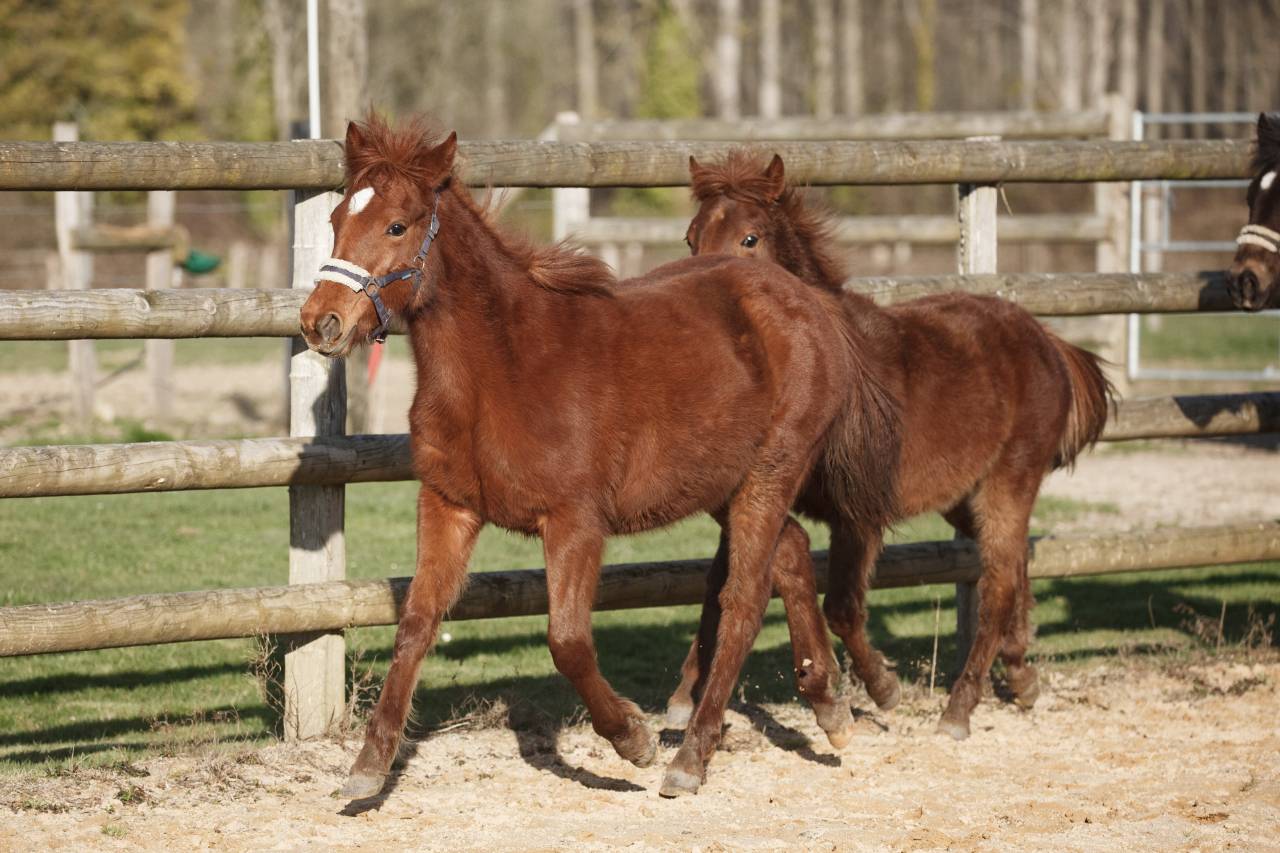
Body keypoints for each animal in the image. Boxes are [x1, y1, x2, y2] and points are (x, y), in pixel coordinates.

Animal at [298, 116, 890, 799]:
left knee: (742, 602)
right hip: (723, 483)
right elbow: (417, 622)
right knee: (789, 554)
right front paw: (367, 768)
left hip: (771, 473)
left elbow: (568, 641)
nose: (321, 322)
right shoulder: (448, 505)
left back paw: (691, 758)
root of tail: (806, 302)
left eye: (397, 226)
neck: (502, 369)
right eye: (337, 217)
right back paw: (830, 706)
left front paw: (633, 739)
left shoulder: (575, 521)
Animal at [674, 151, 1115, 740]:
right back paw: (1021, 676)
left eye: (750, 239)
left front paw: (882, 689)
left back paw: (958, 710)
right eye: (691, 238)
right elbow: (720, 582)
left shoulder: (856, 513)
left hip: (1012, 479)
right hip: (963, 497)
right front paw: (682, 698)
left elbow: (840, 606)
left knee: (998, 583)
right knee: (1015, 566)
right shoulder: (760, 491)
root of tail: (1046, 340)